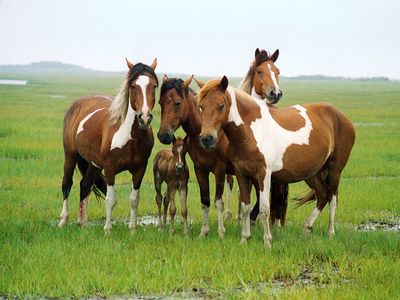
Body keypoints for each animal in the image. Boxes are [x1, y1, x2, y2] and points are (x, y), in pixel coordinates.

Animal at [57, 56, 158, 234]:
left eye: (154, 86)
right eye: (133, 86)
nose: (144, 118)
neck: (129, 137)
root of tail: (78, 103)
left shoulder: (140, 169)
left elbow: (134, 199)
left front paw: (133, 230)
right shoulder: (110, 169)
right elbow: (111, 200)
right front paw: (107, 230)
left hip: (94, 164)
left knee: (85, 186)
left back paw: (83, 224)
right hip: (70, 155)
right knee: (67, 184)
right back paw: (63, 221)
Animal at [197, 76, 356, 247]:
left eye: (221, 106)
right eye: (201, 106)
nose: (207, 139)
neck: (250, 132)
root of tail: (341, 117)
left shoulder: (264, 175)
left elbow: (264, 209)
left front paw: (267, 241)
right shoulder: (242, 174)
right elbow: (246, 207)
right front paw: (244, 239)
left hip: (335, 170)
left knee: (333, 198)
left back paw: (330, 232)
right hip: (312, 173)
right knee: (323, 195)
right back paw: (307, 227)